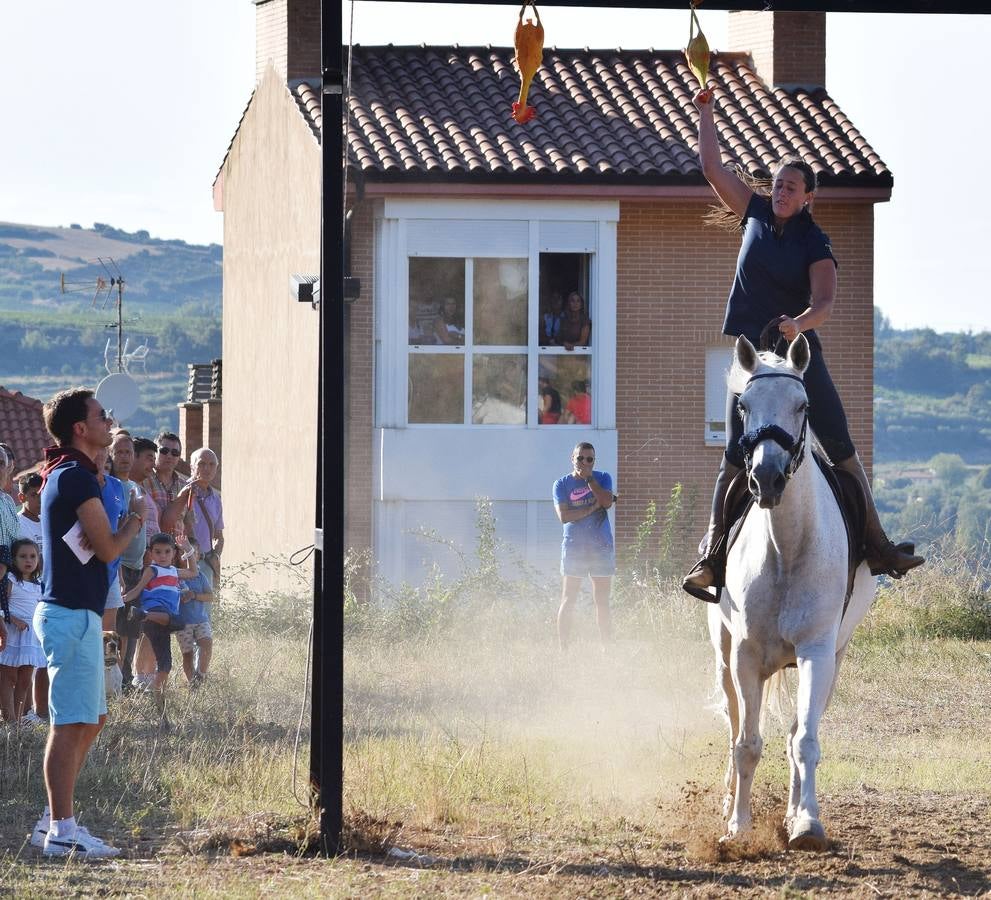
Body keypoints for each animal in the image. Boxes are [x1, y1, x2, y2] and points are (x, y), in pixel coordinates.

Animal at [708, 336, 880, 852]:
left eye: (803, 405)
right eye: (743, 406)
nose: (767, 478)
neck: (785, 548)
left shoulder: (817, 654)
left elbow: (803, 740)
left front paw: (806, 823)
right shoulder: (744, 655)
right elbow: (746, 743)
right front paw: (739, 828)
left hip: (831, 660)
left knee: (795, 734)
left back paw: (791, 814)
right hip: (724, 656)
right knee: (733, 724)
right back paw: (729, 804)